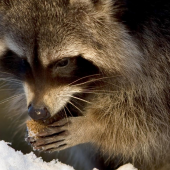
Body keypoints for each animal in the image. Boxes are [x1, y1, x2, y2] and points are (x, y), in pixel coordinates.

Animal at [0, 0, 170, 169]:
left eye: (63, 62)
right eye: (23, 61)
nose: (37, 112)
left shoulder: (159, 52)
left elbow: (149, 114)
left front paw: (91, 126)